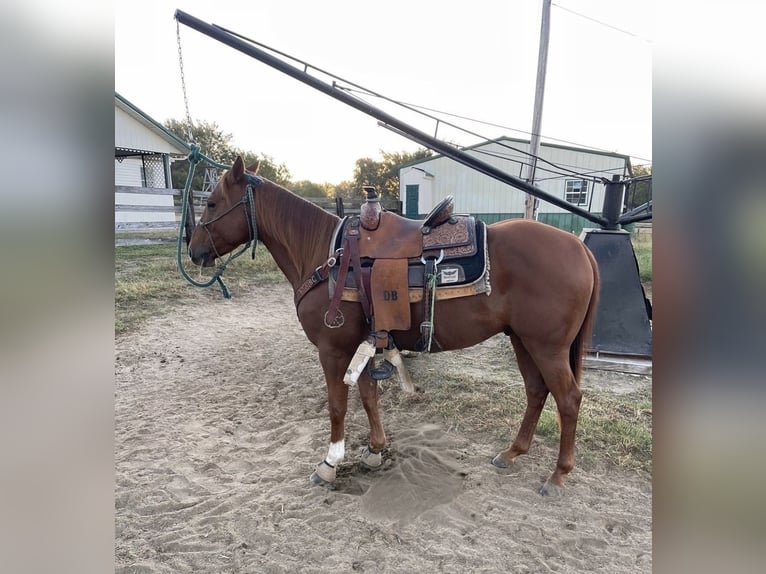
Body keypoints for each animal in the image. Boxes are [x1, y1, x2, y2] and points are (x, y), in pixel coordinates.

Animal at [188, 155, 600, 496]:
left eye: (211, 203)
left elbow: (337, 405)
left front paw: (329, 463)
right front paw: (374, 450)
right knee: (536, 391)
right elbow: (369, 396)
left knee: (568, 399)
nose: (194, 251)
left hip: (546, 347)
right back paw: (512, 453)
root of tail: (581, 248)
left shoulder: (333, 350)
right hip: (523, 341)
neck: (327, 255)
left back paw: (557, 476)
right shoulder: (364, 343)